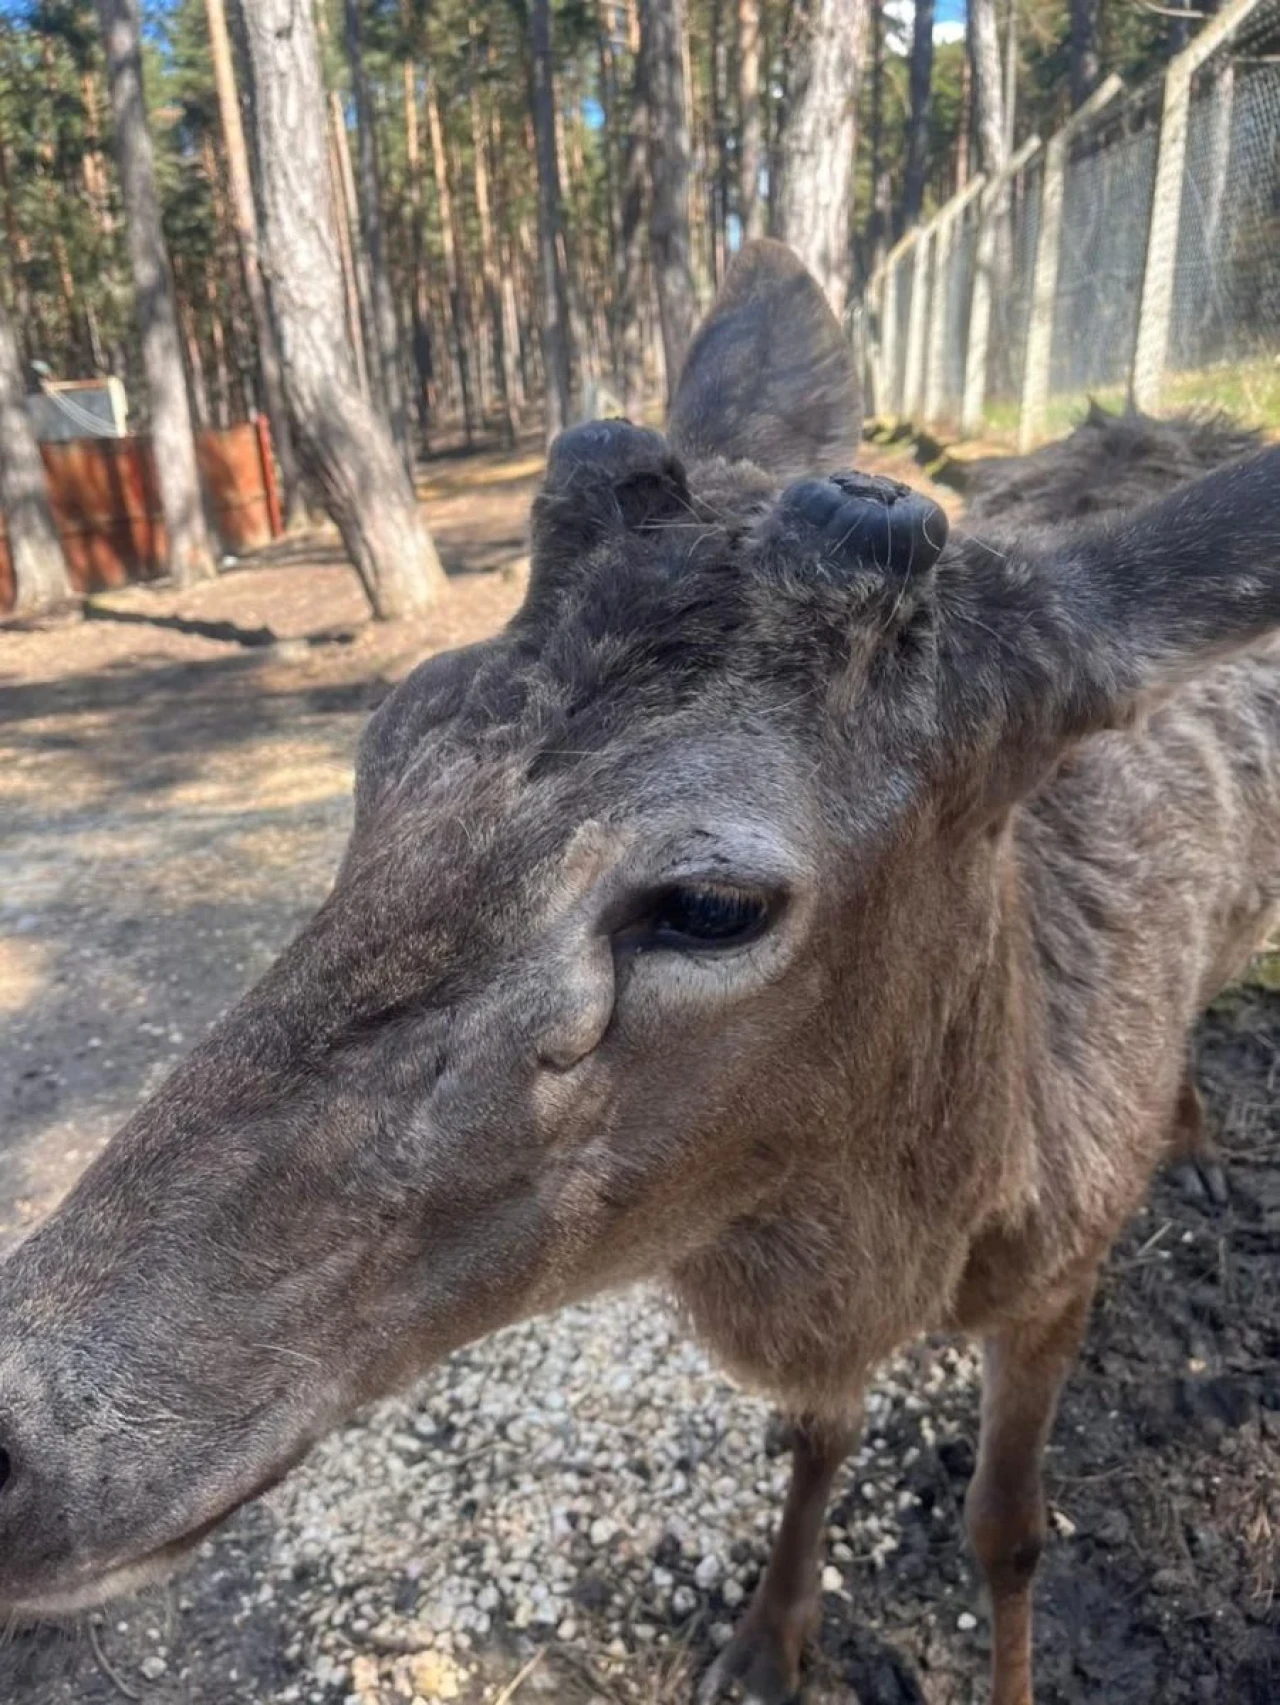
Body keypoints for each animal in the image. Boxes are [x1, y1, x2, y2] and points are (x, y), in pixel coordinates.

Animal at [2, 240, 1280, 1705]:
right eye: (387, 737)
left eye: (713, 903)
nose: (12, 1439)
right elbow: (816, 1435)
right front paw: (765, 1637)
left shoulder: (1062, 1268)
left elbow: (1008, 1535)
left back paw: (1198, 1139)